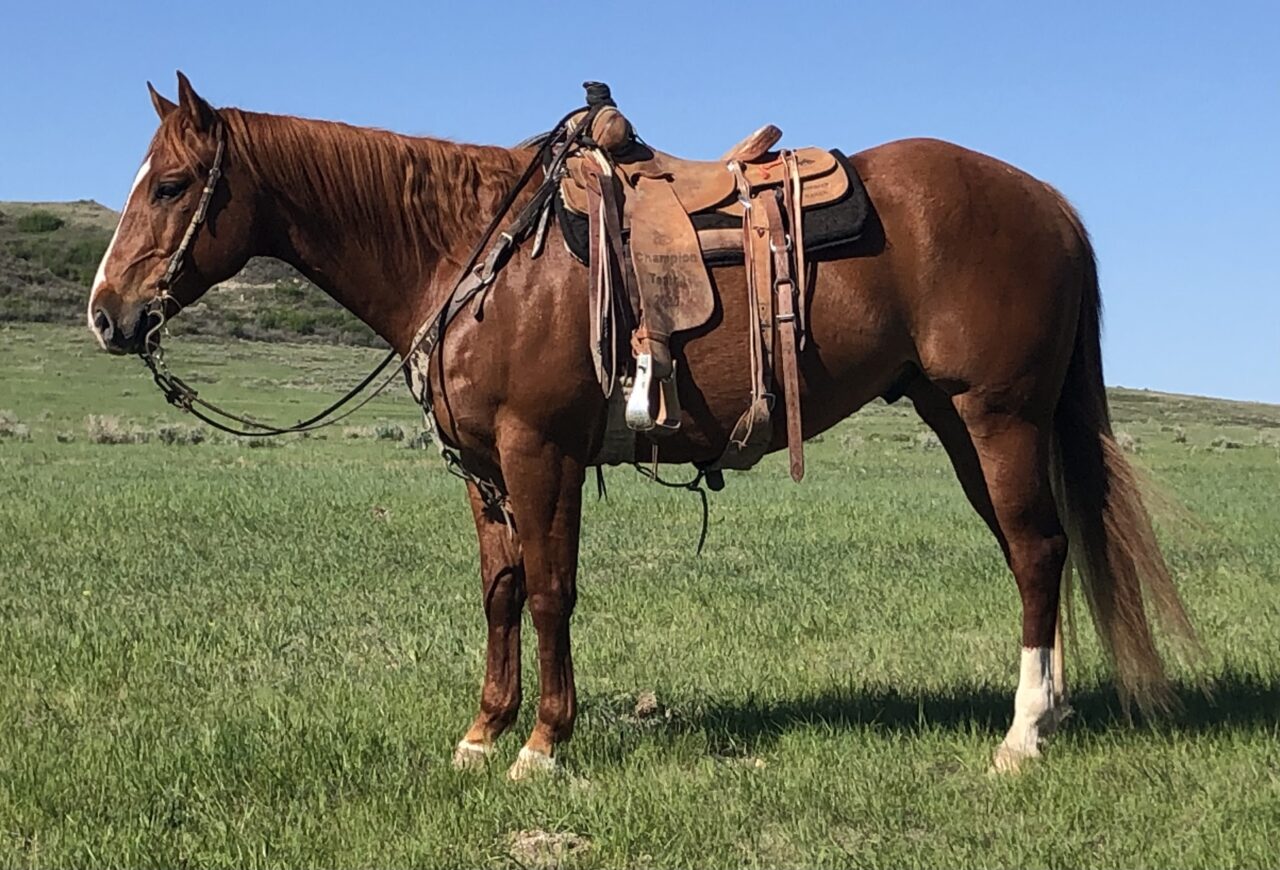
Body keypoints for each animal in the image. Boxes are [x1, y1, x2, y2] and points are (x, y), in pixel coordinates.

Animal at [87, 73, 1197, 779]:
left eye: (173, 185)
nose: (107, 314)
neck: (476, 251)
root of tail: (1047, 203)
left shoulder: (539, 452)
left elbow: (549, 594)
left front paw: (542, 747)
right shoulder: (482, 467)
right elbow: (498, 595)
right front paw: (481, 735)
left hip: (993, 413)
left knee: (1036, 549)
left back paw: (1021, 735)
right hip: (960, 416)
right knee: (1033, 549)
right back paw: (1047, 713)